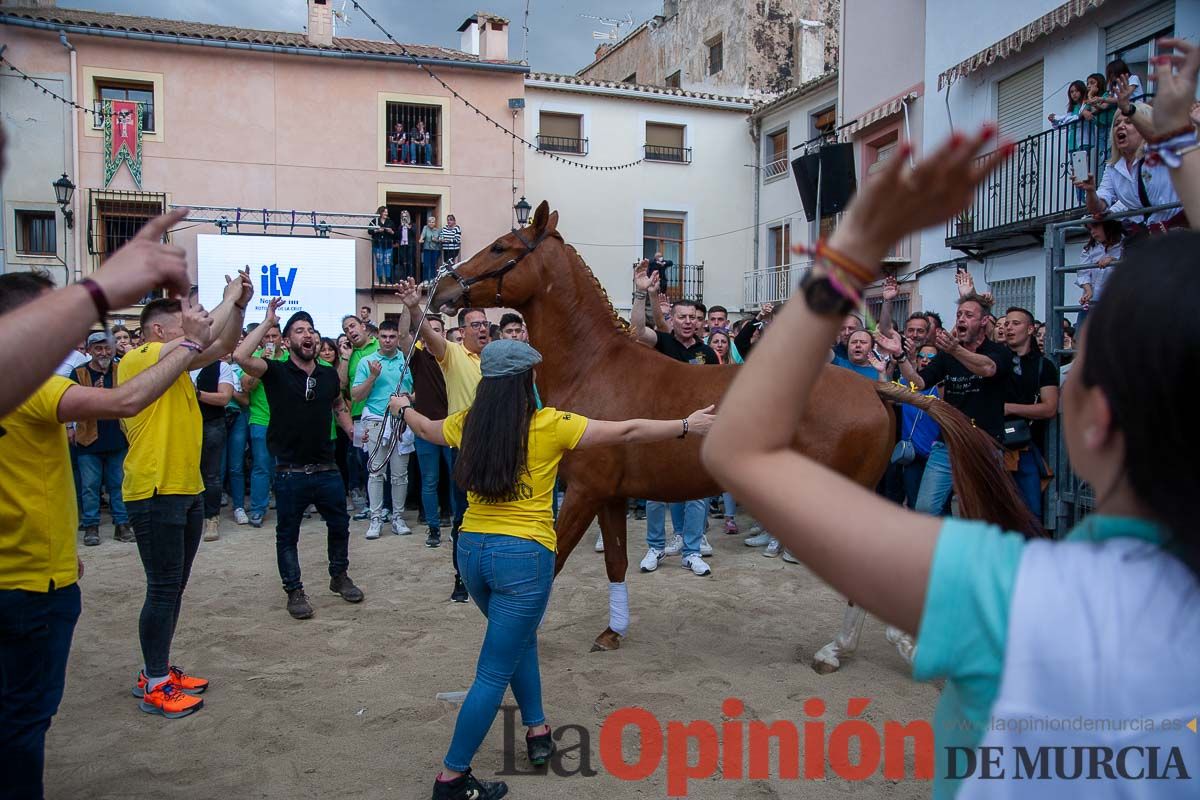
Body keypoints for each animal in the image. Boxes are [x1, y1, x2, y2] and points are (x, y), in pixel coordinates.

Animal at [429, 205, 1041, 657]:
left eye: (502, 247)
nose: (441, 292)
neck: (594, 367)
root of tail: (876, 388)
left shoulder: (581, 492)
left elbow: (552, 564)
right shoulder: (609, 495)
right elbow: (617, 562)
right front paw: (612, 632)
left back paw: (840, 648)